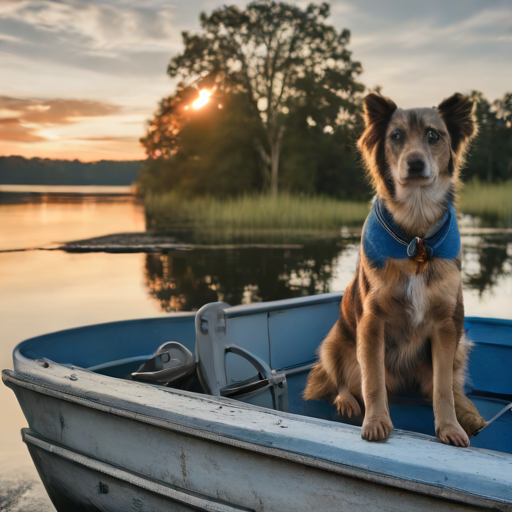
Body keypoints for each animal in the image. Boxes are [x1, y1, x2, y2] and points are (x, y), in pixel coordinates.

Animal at [304, 94, 488, 446]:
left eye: (433, 135)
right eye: (396, 136)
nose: (414, 163)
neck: (415, 235)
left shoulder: (448, 324)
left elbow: (443, 388)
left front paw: (451, 427)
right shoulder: (371, 322)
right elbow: (372, 380)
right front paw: (376, 422)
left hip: (461, 345)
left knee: (448, 386)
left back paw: (471, 415)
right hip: (333, 341)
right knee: (338, 379)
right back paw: (346, 401)